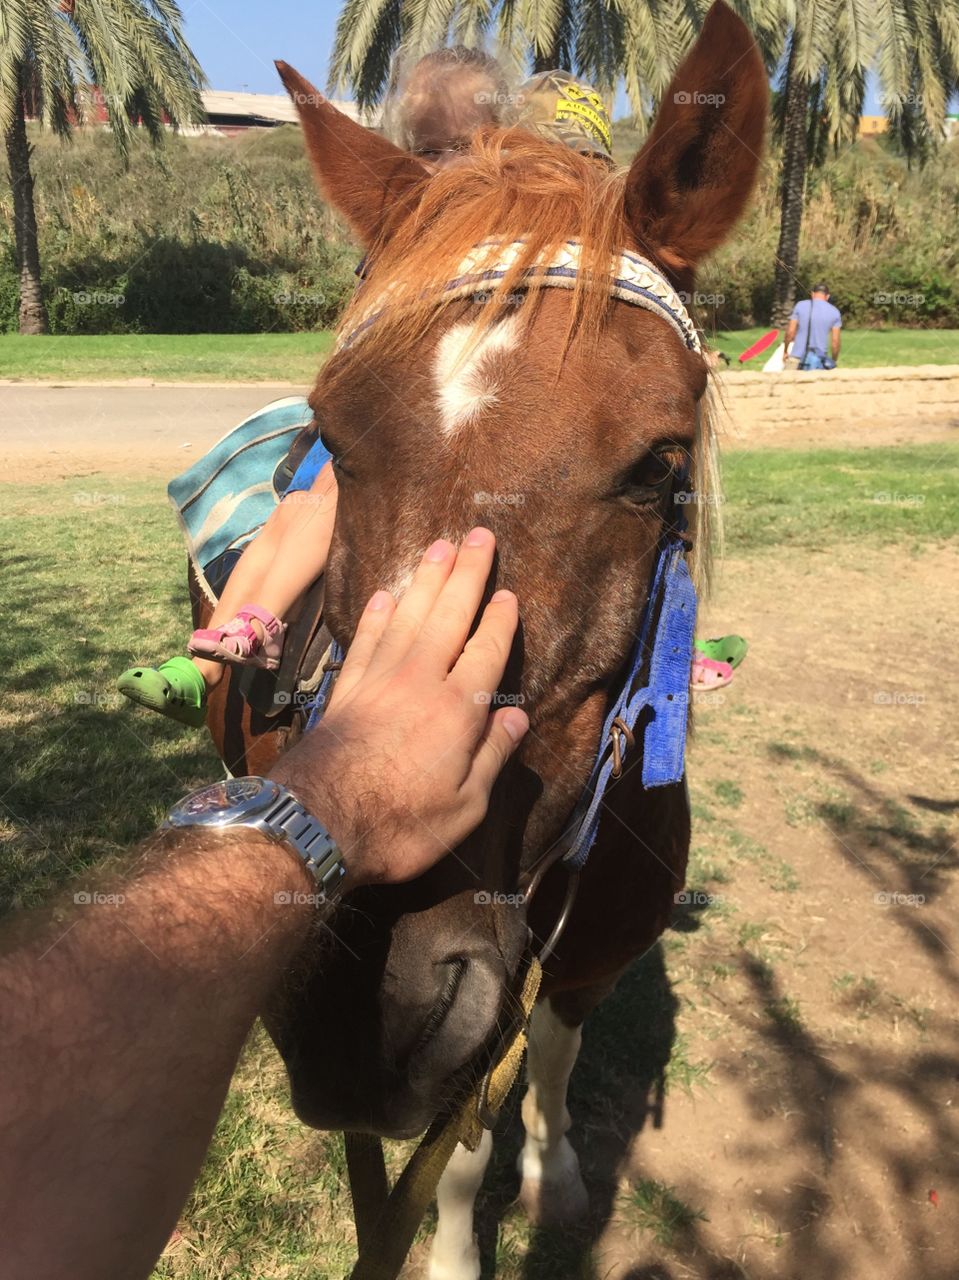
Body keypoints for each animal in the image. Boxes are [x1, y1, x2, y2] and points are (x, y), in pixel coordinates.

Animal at [195, 4, 766, 1273]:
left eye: (657, 463)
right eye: (331, 435)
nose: (364, 1005)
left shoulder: (581, 962)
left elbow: (547, 1053)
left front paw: (552, 1168)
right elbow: (450, 1152)